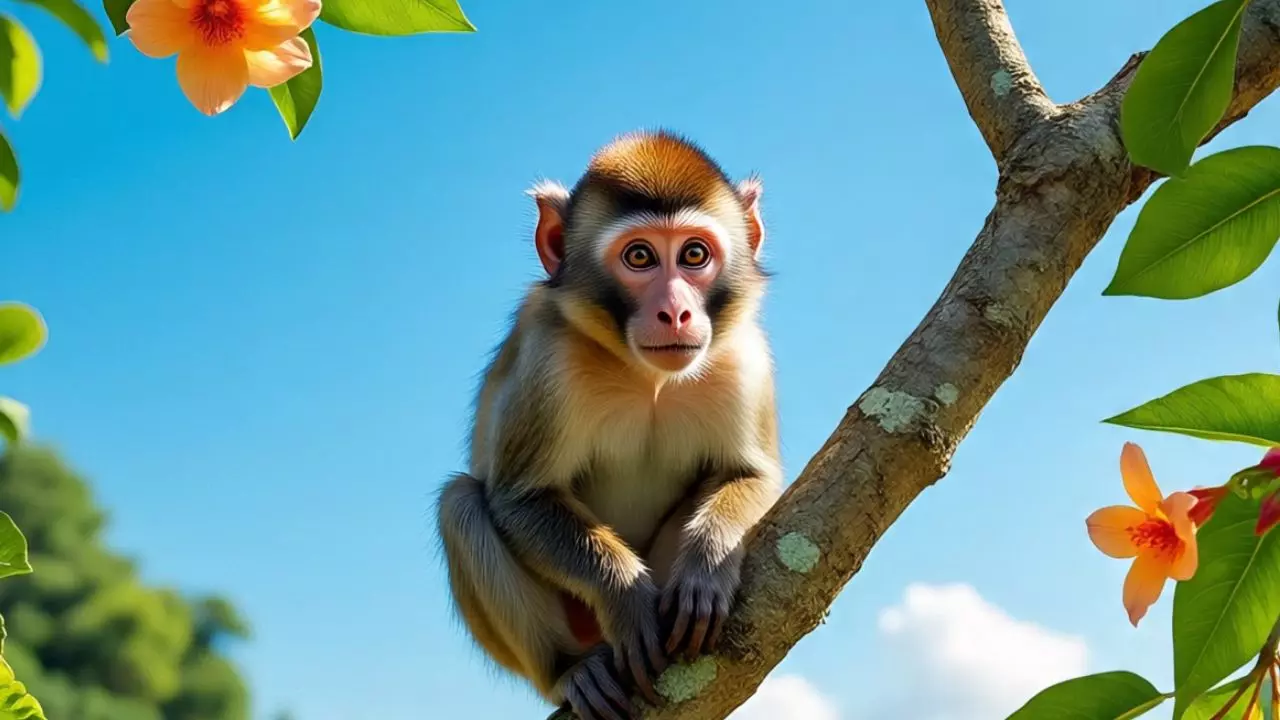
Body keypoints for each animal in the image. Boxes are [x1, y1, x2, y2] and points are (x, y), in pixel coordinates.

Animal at [436, 130, 782, 720]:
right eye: (639, 256)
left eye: (694, 254)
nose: (675, 313)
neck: (648, 379)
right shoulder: (549, 360)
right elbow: (520, 498)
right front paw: (625, 596)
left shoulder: (744, 360)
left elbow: (750, 474)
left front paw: (705, 566)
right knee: (461, 504)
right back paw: (574, 669)